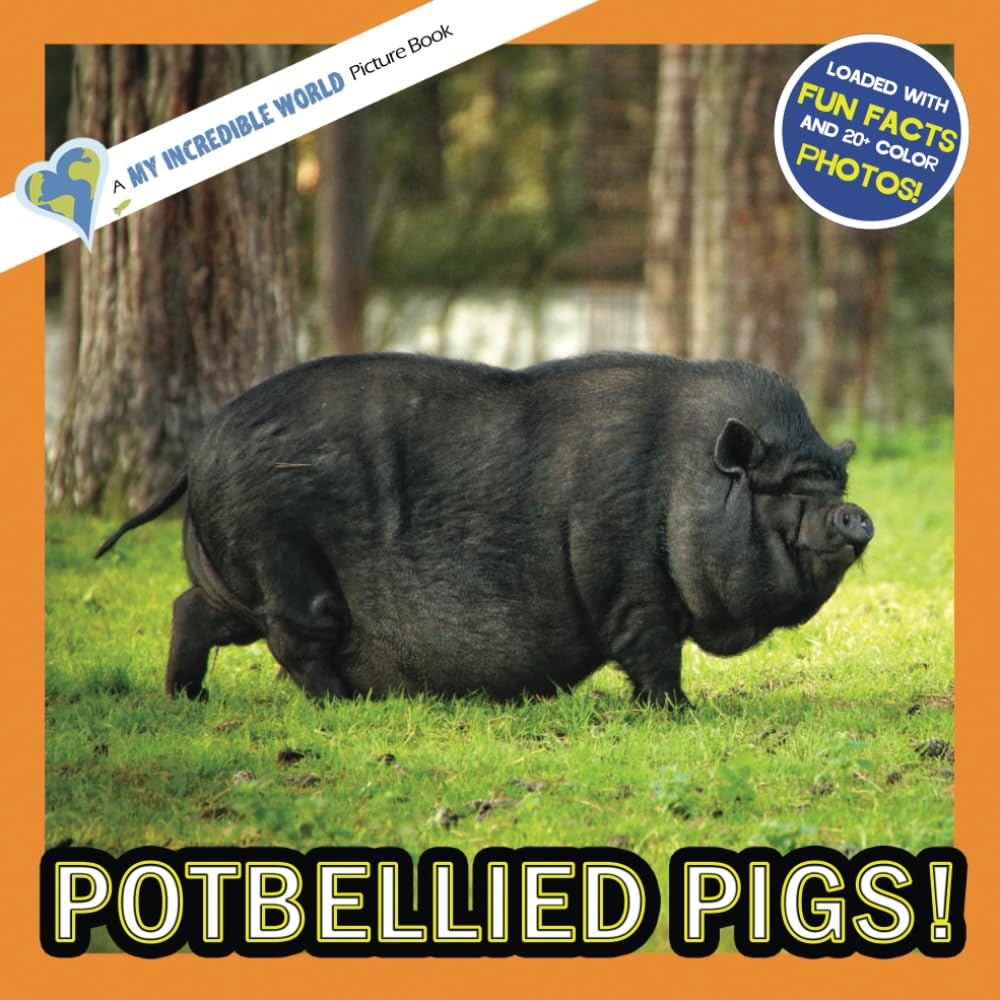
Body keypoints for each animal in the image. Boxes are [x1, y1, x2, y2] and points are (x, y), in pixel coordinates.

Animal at [96, 352, 873, 707]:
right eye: (781, 486)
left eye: (834, 480)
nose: (855, 514)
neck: (684, 480)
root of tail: (198, 452)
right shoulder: (632, 588)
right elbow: (653, 656)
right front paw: (682, 713)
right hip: (280, 556)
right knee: (297, 642)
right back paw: (345, 702)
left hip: (235, 575)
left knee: (190, 608)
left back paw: (187, 697)